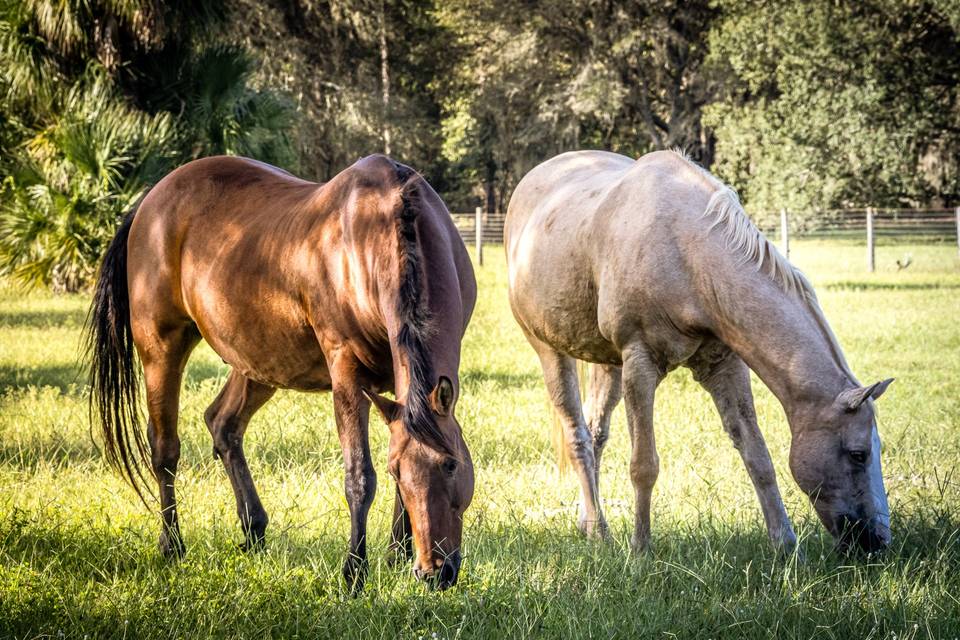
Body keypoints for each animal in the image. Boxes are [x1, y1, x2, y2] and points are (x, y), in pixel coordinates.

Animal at [89, 154, 476, 592]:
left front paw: (396, 556)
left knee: (223, 424)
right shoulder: (346, 372)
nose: (435, 571)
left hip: (256, 364)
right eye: (398, 469)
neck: (381, 228)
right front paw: (354, 573)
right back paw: (172, 545)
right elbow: (360, 477)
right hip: (161, 348)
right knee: (165, 450)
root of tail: (150, 200)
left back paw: (253, 529)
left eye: (451, 464)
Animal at [510, 151, 892, 556]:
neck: (686, 252)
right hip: (550, 351)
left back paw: (588, 522)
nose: (879, 541)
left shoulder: (724, 365)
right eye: (858, 453)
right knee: (578, 435)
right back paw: (600, 531)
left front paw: (786, 546)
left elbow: (757, 456)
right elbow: (644, 465)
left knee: (595, 429)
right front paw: (640, 550)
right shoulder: (640, 364)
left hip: (608, 364)